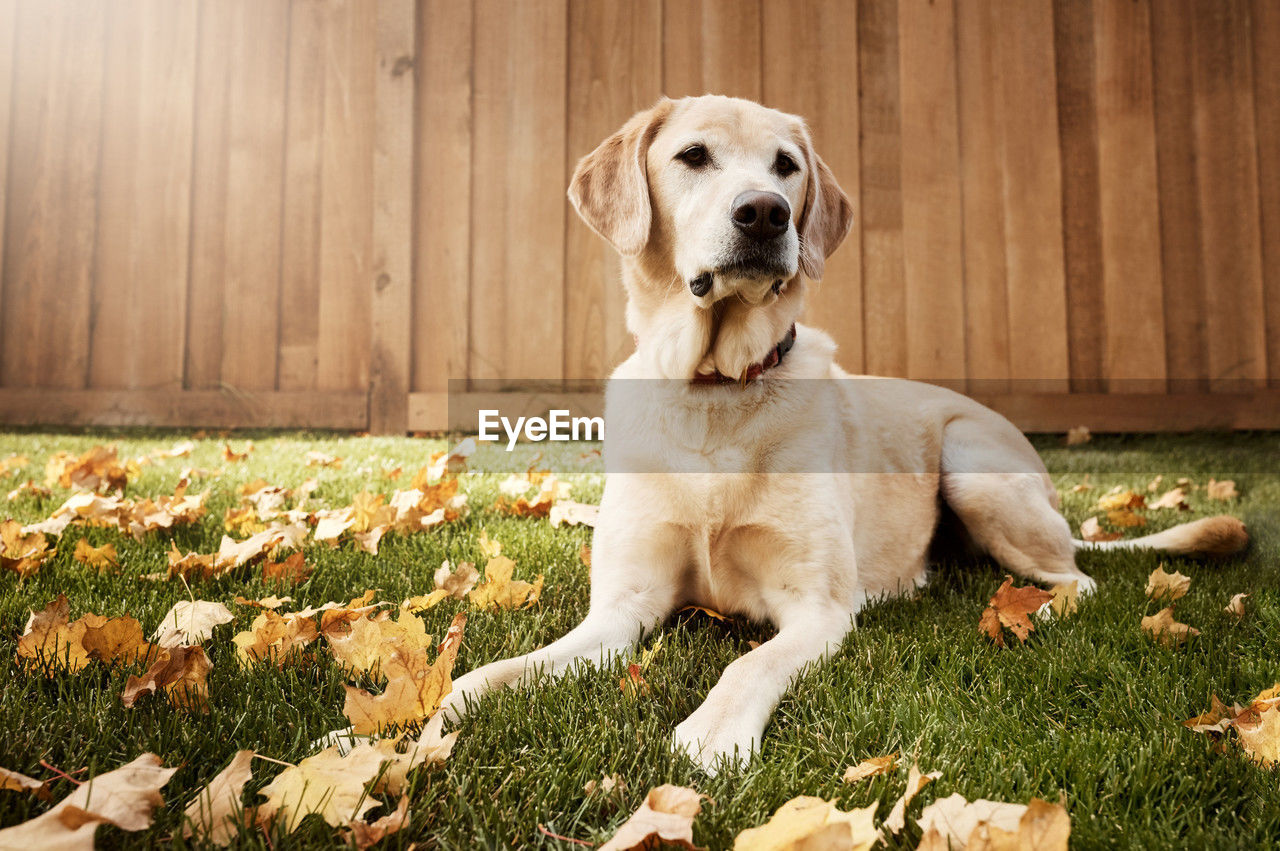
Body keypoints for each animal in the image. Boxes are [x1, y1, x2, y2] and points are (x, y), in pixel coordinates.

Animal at [435, 95, 1254, 772]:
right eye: (693, 155)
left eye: (786, 166)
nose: (766, 213)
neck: (716, 390)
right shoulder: (620, 607)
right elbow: (509, 669)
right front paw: (444, 710)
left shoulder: (818, 608)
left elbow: (748, 663)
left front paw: (713, 731)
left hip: (973, 463)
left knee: (1078, 579)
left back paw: (1030, 609)